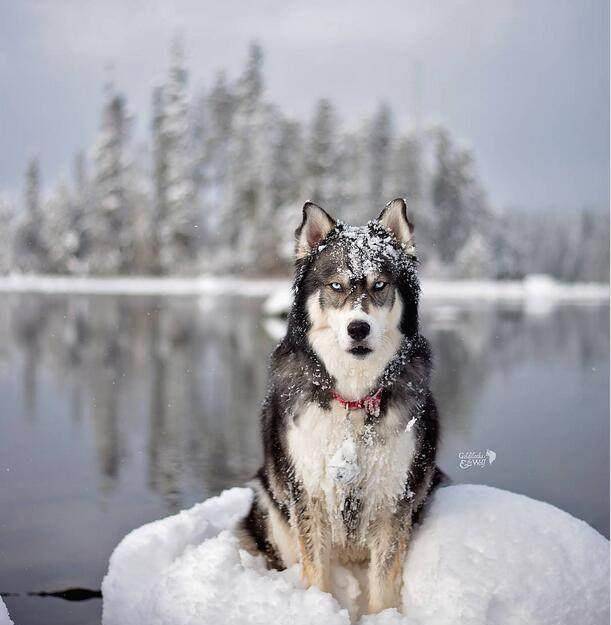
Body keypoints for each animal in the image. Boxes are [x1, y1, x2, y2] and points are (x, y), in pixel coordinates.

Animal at [238, 200, 440, 616]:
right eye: (336, 286)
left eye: (380, 285)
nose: (358, 328)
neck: (353, 400)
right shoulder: (308, 495)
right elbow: (317, 572)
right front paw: (318, 607)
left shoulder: (394, 498)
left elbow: (384, 583)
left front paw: (382, 617)